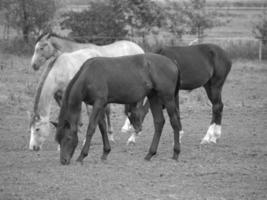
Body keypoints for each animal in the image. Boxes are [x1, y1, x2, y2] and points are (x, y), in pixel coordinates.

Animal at [55, 53, 183, 166]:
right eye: (58, 139)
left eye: (68, 138)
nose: (63, 161)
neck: (89, 75)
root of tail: (173, 62)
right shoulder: (101, 104)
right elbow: (102, 126)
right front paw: (105, 152)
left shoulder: (98, 103)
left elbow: (91, 127)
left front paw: (82, 155)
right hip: (153, 97)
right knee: (159, 122)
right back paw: (150, 154)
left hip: (167, 98)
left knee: (174, 122)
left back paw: (176, 153)